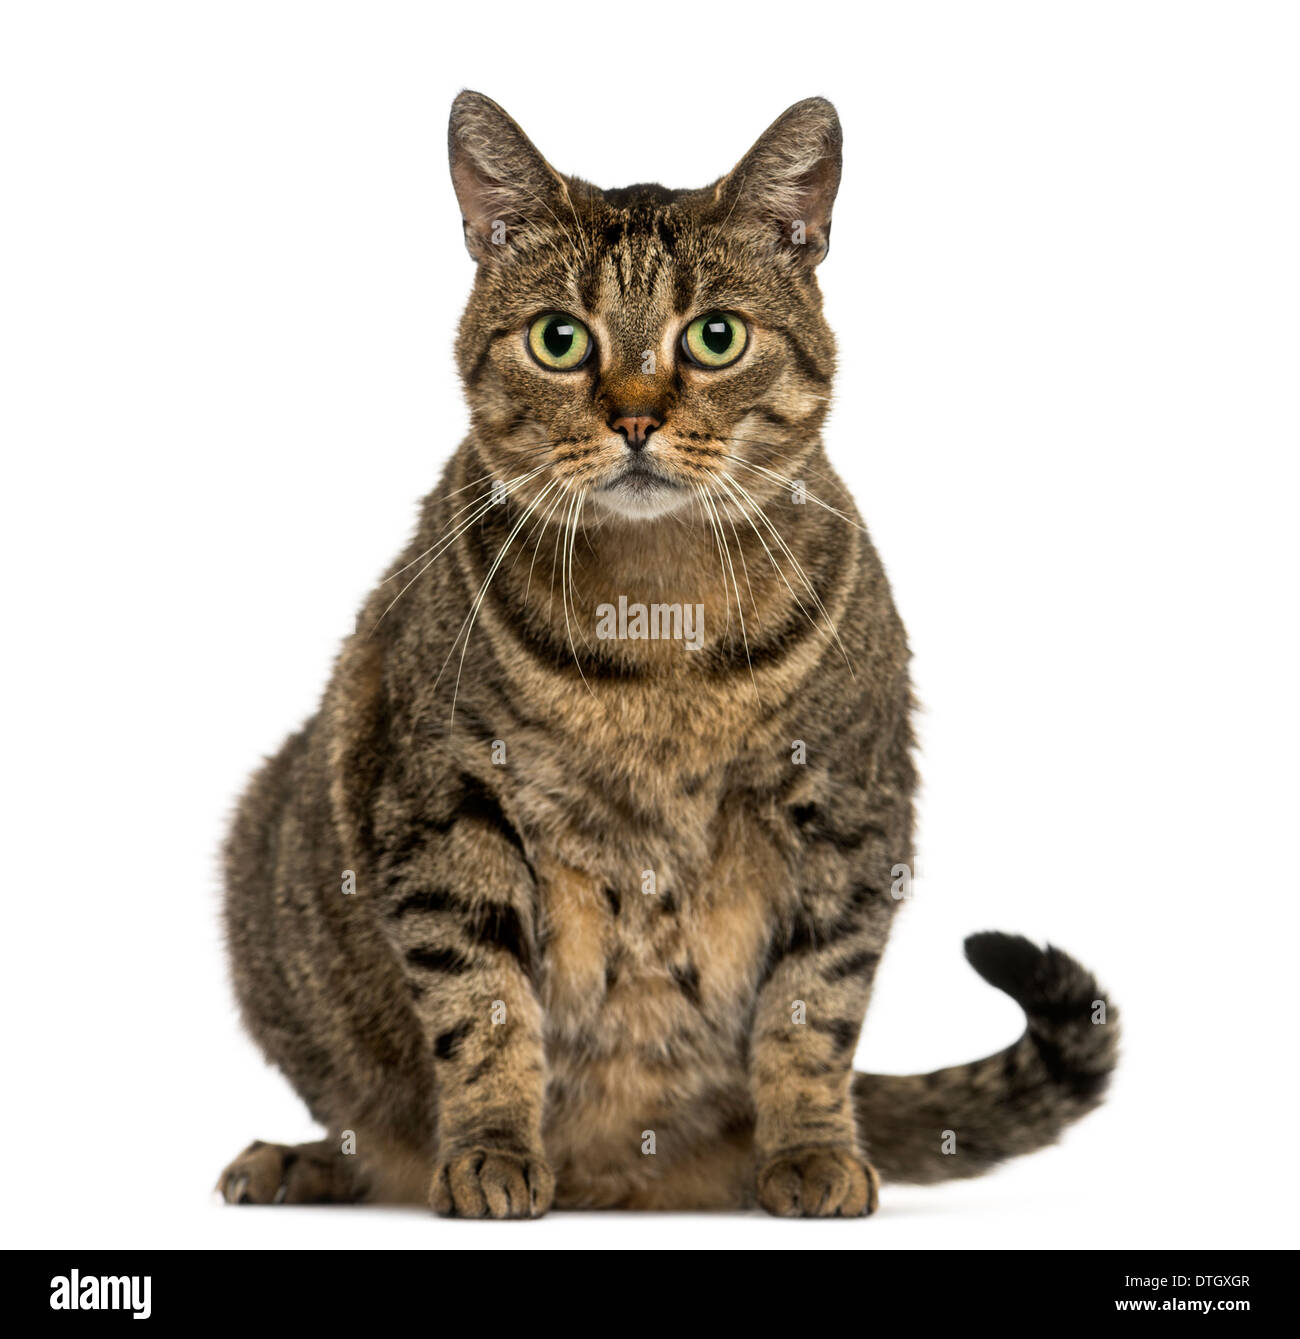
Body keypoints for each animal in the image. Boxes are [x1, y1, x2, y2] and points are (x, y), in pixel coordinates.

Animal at [215, 94, 1119, 1221]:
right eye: (559, 339)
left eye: (714, 336)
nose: (637, 415)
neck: (659, 629)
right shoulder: (443, 804)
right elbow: (484, 1004)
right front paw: (491, 1147)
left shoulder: (851, 812)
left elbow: (811, 1012)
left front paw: (813, 1148)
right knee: (365, 1114)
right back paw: (310, 1161)